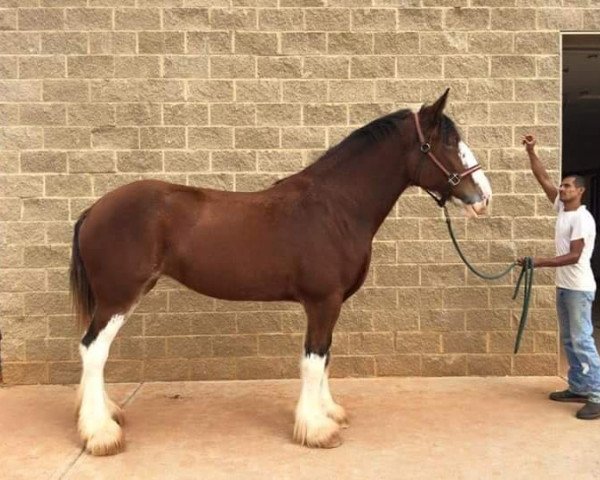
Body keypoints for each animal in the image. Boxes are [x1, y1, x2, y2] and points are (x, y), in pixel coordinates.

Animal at [70, 90, 492, 454]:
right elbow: (313, 360)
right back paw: (100, 433)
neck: (336, 208)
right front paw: (317, 429)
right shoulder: (323, 302)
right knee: (94, 350)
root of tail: (94, 210)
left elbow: (326, 357)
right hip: (119, 297)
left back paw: (108, 414)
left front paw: (329, 413)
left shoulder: (330, 304)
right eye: (447, 143)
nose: (484, 198)